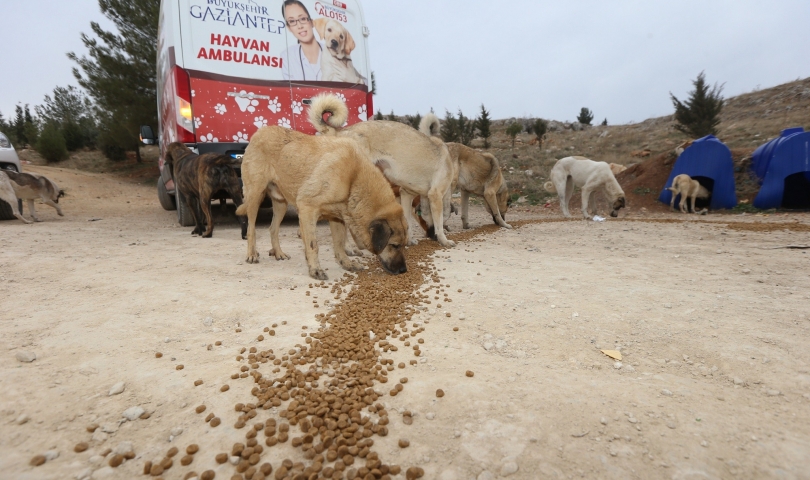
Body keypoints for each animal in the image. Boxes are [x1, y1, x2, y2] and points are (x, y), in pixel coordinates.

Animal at [237, 94, 408, 280]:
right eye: (394, 245)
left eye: (403, 245)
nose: (403, 270)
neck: (353, 177)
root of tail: (258, 133)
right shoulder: (307, 209)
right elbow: (313, 244)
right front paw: (315, 269)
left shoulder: (337, 217)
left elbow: (339, 244)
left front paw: (346, 263)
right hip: (255, 197)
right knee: (251, 228)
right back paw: (252, 254)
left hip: (281, 203)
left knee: (273, 229)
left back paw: (278, 253)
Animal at [312, 105, 458, 249]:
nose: (432, 237)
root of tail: (341, 131)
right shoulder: (435, 196)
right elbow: (438, 223)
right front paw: (444, 240)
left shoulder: (406, 195)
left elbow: (409, 222)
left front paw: (410, 240)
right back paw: (350, 247)